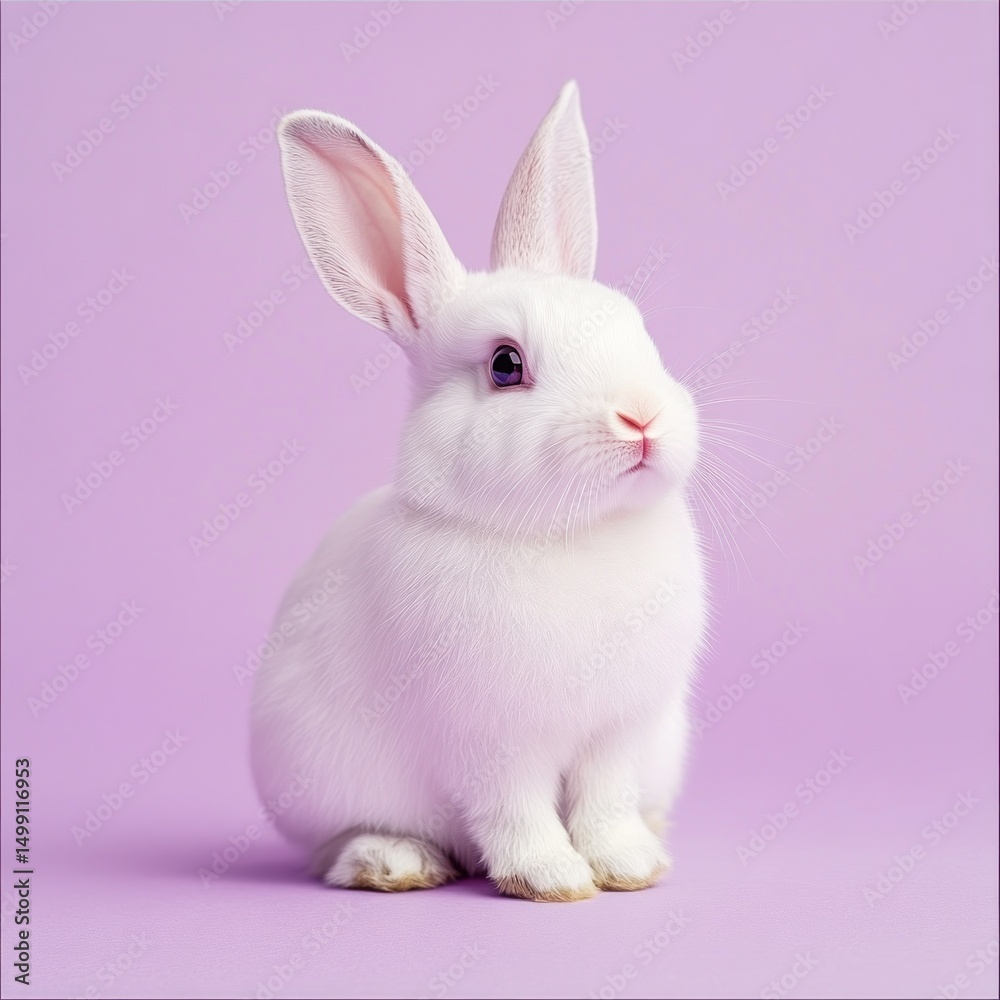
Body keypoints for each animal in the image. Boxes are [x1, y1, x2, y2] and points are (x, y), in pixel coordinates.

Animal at [250, 80, 708, 902]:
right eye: (504, 365)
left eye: (635, 328)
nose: (642, 417)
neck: (571, 535)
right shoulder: (493, 744)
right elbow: (517, 813)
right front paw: (554, 880)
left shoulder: (620, 733)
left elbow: (606, 804)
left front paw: (630, 868)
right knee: (336, 846)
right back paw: (395, 863)